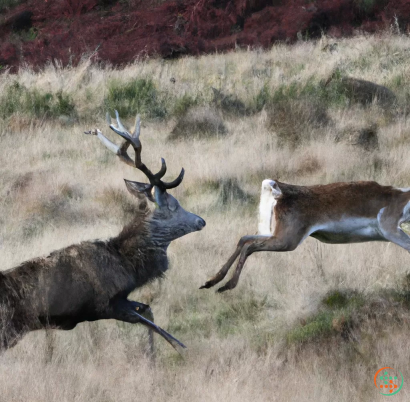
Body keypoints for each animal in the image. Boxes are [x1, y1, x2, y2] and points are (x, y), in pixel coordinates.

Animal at [0, 111, 205, 354]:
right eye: (174, 205)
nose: (201, 221)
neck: (128, 266)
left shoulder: (121, 300)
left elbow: (148, 312)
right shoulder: (105, 304)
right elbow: (153, 325)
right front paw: (180, 349)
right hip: (9, 327)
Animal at [202, 179, 410, 292]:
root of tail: (281, 190)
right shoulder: (390, 229)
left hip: (277, 236)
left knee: (244, 239)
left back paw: (211, 281)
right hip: (287, 242)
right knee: (250, 246)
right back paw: (226, 286)